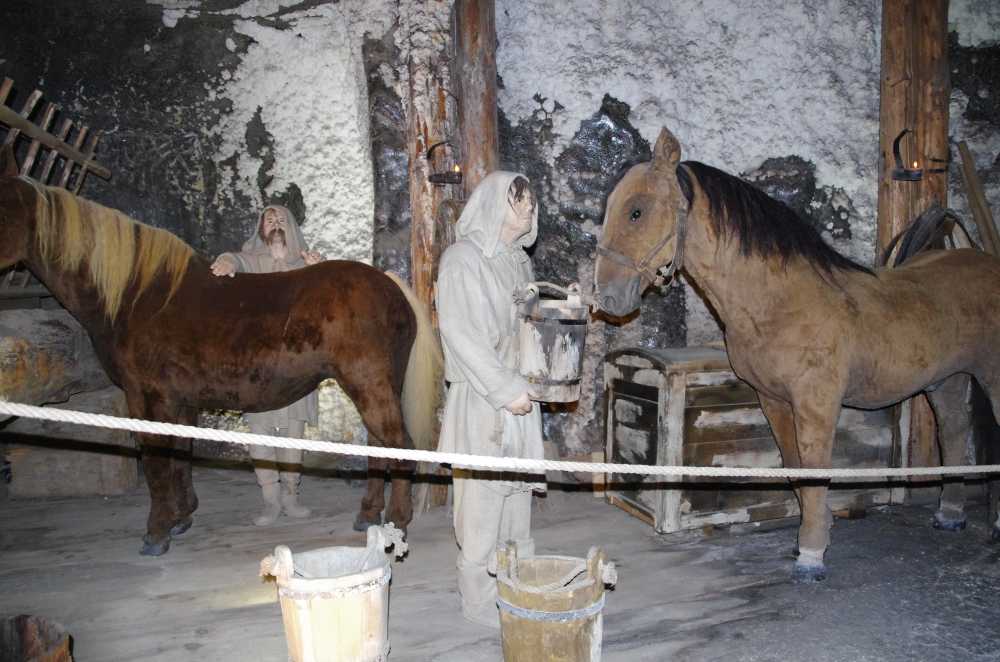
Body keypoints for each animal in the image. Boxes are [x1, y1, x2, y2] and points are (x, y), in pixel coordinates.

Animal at [0, 147, 443, 556]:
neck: (137, 295)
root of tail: (387, 282)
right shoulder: (179, 401)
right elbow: (180, 454)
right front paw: (181, 517)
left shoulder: (146, 397)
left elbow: (157, 462)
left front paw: (157, 532)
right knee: (379, 446)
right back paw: (368, 514)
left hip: (368, 384)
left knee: (398, 445)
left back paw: (397, 522)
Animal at [595, 127, 1000, 581]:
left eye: (636, 212)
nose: (606, 297)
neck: (779, 301)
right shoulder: (773, 400)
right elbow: (796, 467)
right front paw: (816, 532)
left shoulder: (816, 403)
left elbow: (816, 469)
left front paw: (811, 554)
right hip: (946, 381)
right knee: (954, 433)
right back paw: (950, 515)